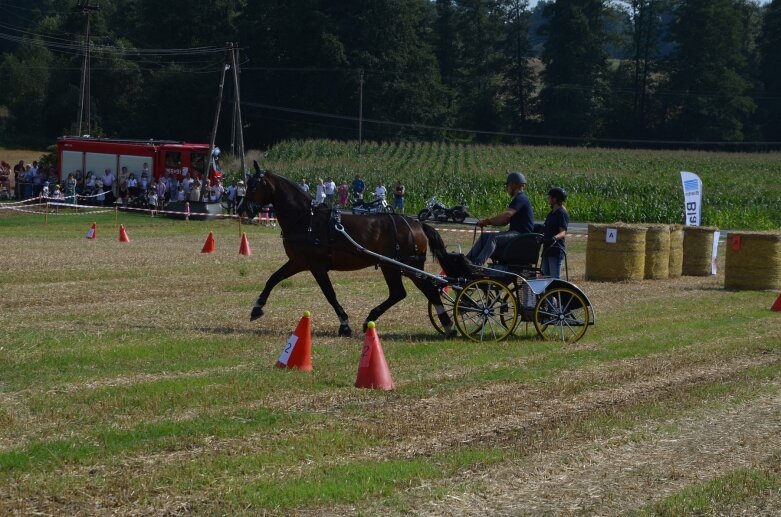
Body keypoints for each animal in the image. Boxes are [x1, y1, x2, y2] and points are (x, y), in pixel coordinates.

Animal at [241, 162, 454, 338]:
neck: (307, 220)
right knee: (404, 292)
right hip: (395, 267)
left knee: (421, 291)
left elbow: (330, 294)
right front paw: (257, 308)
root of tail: (417, 223)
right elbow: (273, 278)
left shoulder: (316, 266)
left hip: (404, 266)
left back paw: (447, 324)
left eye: (253, 186)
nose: (242, 209)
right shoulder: (299, 262)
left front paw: (344, 325)